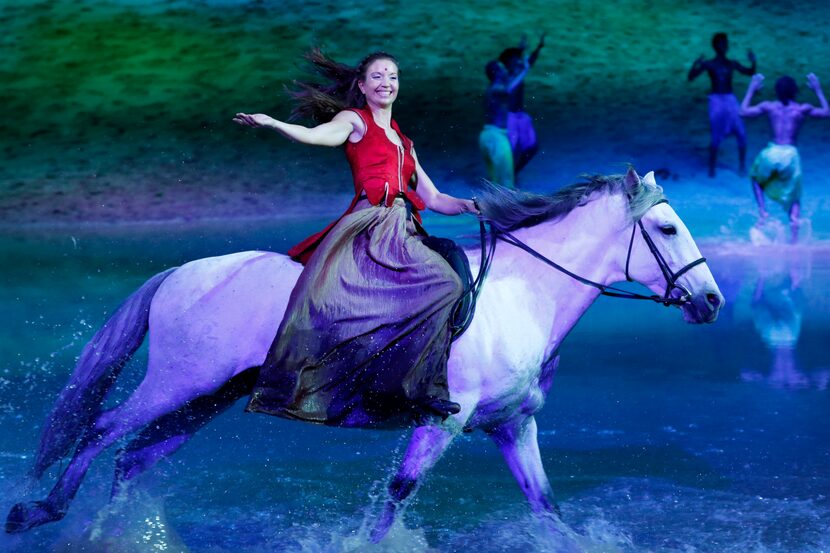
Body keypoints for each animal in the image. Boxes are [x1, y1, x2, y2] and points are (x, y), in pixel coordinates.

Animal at [4, 168, 720, 544]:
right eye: (665, 228)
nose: (711, 301)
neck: (524, 294)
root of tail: (182, 271)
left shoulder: (514, 426)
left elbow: (548, 508)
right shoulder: (443, 422)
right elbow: (399, 494)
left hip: (206, 398)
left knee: (133, 457)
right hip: (178, 383)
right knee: (101, 431)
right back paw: (42, 511)